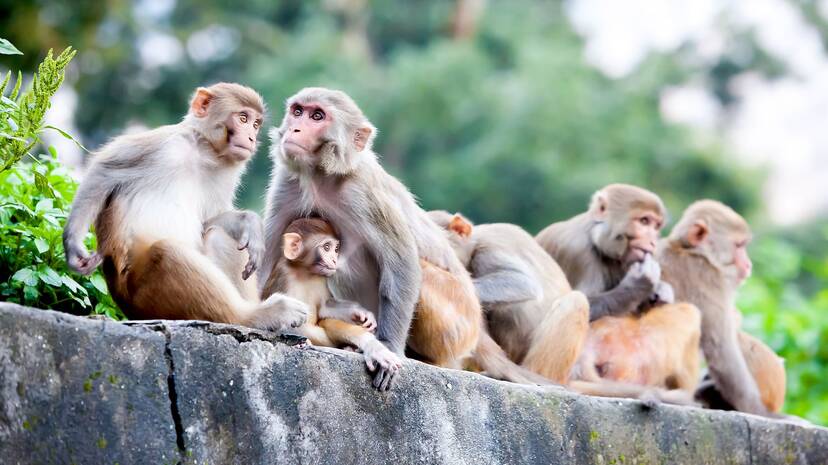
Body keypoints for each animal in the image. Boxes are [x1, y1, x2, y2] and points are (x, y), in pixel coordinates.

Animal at [63, 82, 308, 331]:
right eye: (243, 118)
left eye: (256, 124)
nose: (251, 137)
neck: (204, 152)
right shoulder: (165, 143)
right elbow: (103, 172)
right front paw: (74, 248)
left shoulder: (225, 173)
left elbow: (209, 221)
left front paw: (248, 221)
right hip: (149, 296)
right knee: (169, 253)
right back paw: (253, 316)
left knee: (221, 237)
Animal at [264, 217, 402, 379]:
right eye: (326, 247)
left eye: (336, 250)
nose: (335, 260)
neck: (304, 273)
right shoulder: (283, 276)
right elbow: (283, 322)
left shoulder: (321, 278)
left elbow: (325, 308)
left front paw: (361, 313)